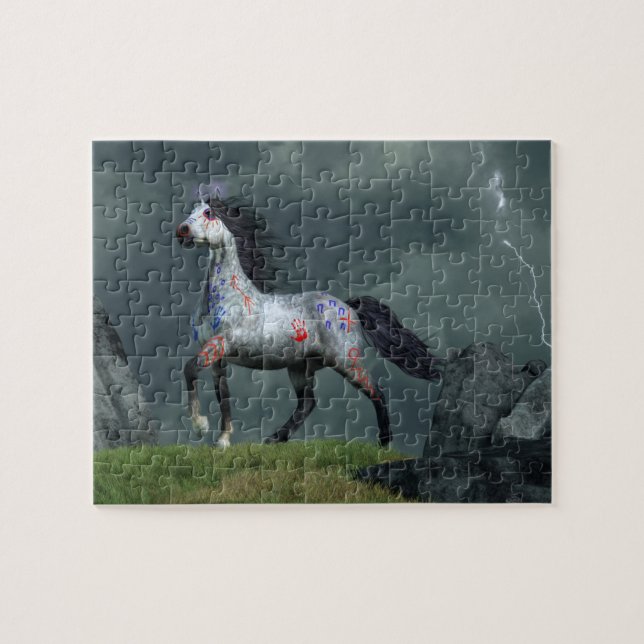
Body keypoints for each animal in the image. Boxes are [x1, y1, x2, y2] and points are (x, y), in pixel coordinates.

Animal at [176, 195, 443, 448]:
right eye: (191, 210)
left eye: (208, 213)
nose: (182, 231)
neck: (229, 299)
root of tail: (350, 308)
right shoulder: (218, 357)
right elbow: (223, 397)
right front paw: (222, 440)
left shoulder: (223, 343)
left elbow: (189, 369)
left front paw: (200, 426)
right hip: (299, 367)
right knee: (308, 403)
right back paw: (274, 439)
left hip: (345, 361)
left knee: (376, 392)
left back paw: (384, 443)